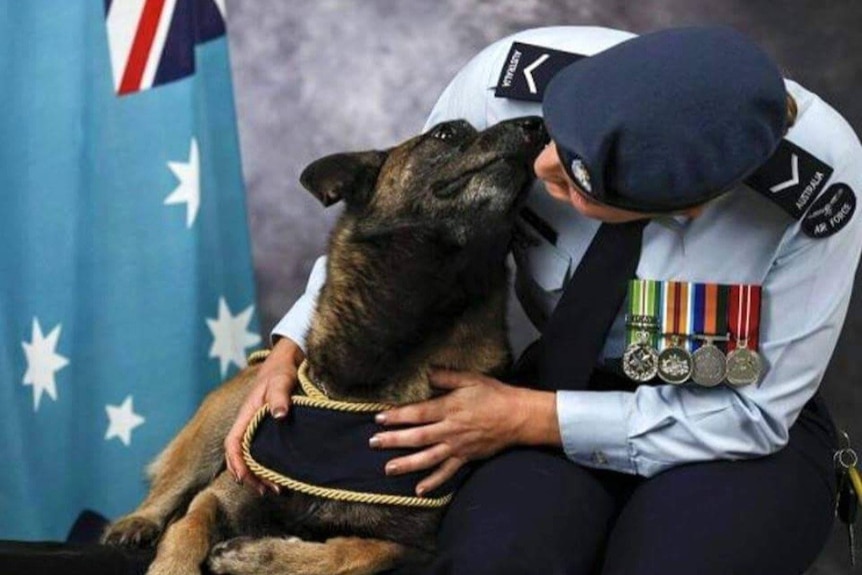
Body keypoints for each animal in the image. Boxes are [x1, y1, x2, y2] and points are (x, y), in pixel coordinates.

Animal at [101, 117, 548, 575]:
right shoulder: (222, 495)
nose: (535, 124)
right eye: (446, 133)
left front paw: (257, 555)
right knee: (171, 486)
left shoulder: (411, 547)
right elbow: (187, 526)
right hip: (224, 418)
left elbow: (349, 553)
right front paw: (174, 563)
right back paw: (136, 521)